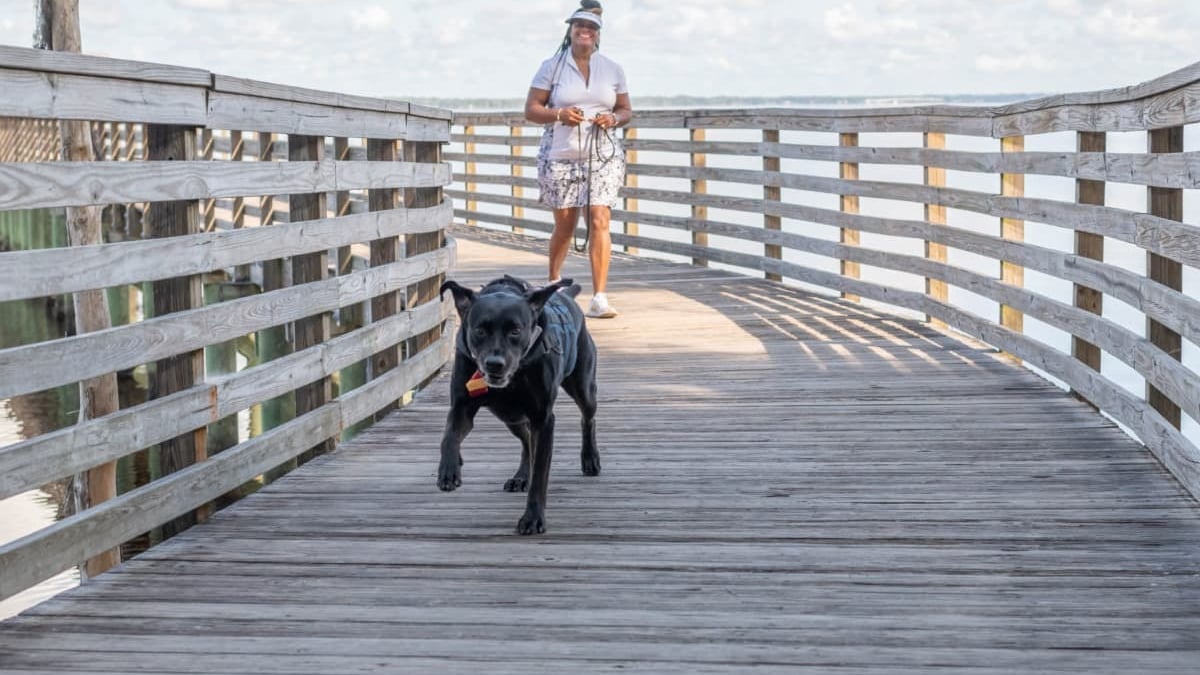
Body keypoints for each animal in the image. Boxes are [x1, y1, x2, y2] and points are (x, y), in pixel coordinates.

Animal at [436, 273, 600, 530]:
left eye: (516, 331)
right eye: (479, 330)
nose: (495, 364)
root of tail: (566, 296)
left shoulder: (543, 418)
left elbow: (540, 473)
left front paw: (533, 518)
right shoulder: (461, 407)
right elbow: (448, 436)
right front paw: (449, 469)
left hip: (583, 388)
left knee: (587, 418)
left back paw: (590, 458)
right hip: (509, 415)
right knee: (526, 440)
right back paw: (521, 476)